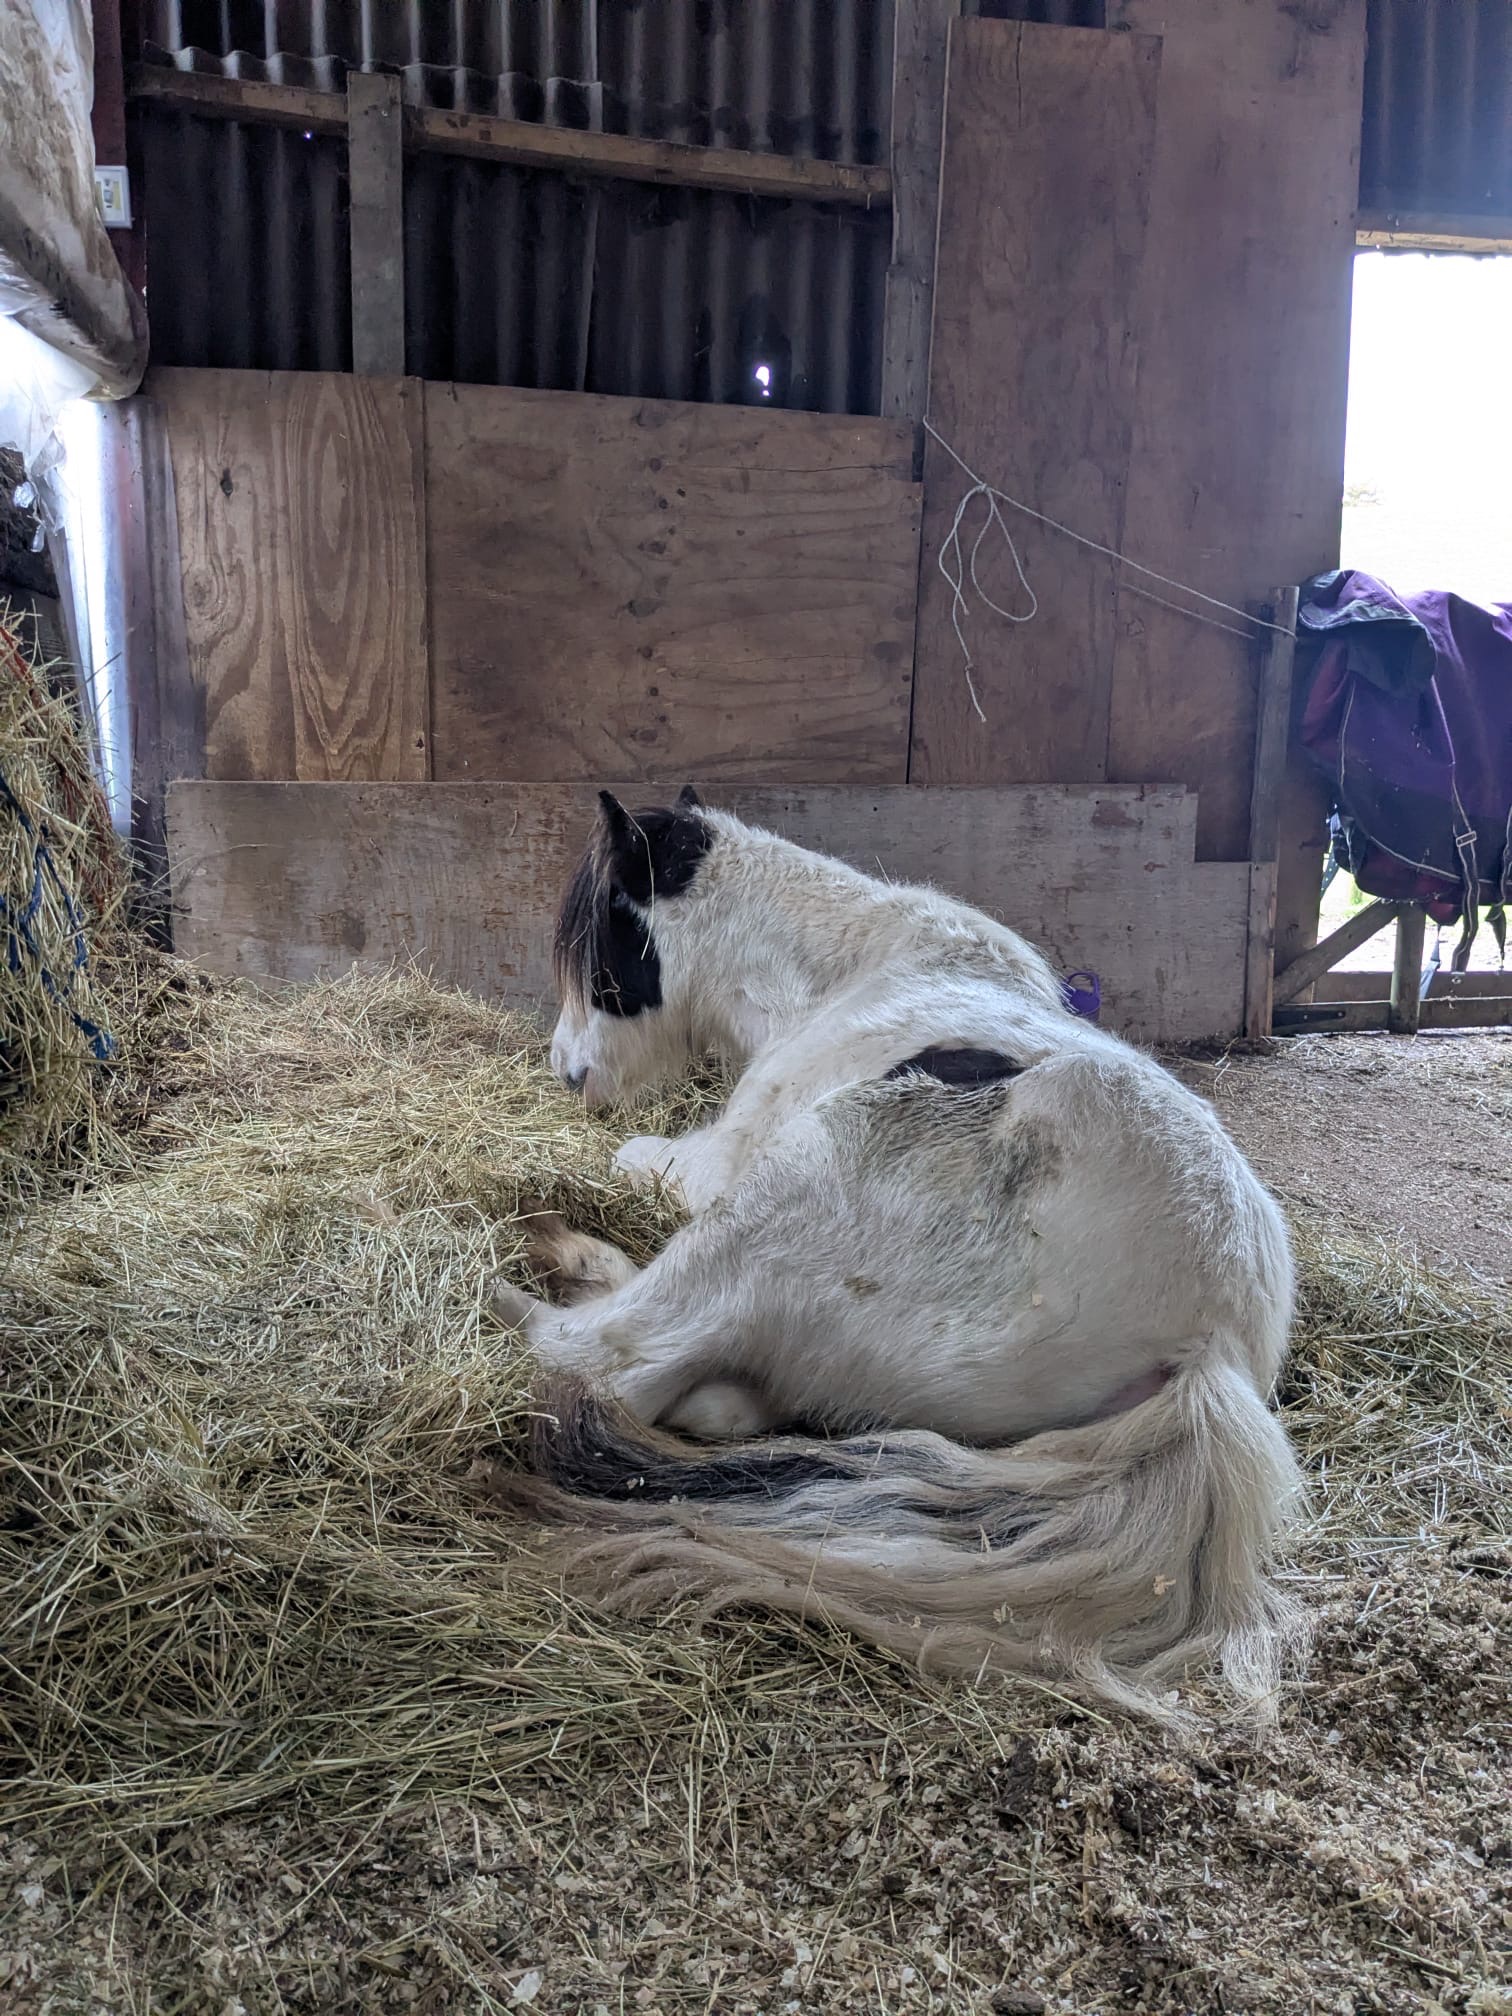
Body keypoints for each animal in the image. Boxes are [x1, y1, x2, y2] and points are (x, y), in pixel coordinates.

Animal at [490, 787, 1306, 1714]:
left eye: (607, 946)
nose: (568, 1072)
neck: (846, 973)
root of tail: (1215, 1349)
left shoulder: (715, 1164)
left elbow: (634, 1163)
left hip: (788, 1194)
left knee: (602, 1360)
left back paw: (528, 1265)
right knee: (704, 1392)